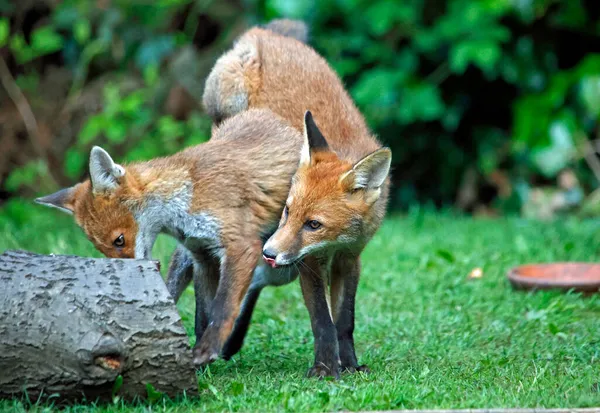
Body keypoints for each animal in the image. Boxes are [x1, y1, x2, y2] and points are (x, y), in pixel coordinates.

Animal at [34, 108, 302, 364]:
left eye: (119, 240)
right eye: (103, 250)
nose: (128, 281)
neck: (184, 198)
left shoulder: (240, 244)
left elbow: (222, 308)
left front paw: (207, 350)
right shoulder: (202, 255)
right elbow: (202, 315)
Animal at [197, 19, 394, 376]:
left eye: (314, 224)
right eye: (288, 212)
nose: (270, 253)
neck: (336, 241)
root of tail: (264, 33)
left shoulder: (350, 258)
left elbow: (345, 320)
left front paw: (350, 365)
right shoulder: (308, 263)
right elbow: (322, 320)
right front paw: (326, 369)